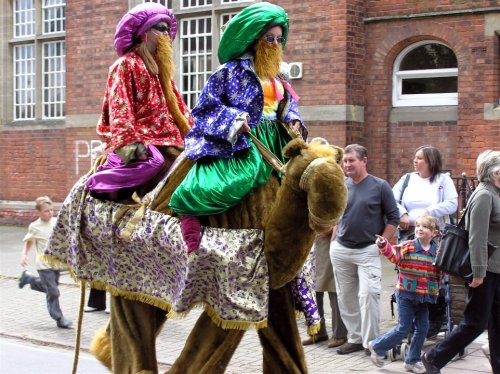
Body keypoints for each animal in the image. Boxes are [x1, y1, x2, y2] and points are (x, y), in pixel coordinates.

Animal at [44, 137, 348, 374]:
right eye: (310, 178)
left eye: (341, 178)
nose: (325, 224)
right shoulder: (227, 291)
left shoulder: (266, 290)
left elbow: (284, 348)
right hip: (128, 271)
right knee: (131, 321)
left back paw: (104, 351)